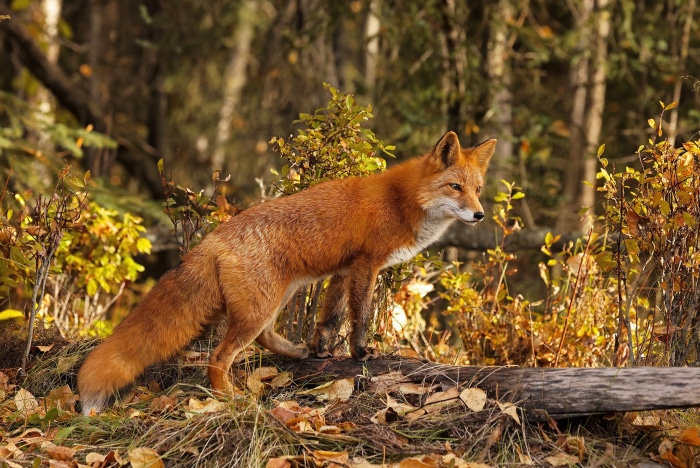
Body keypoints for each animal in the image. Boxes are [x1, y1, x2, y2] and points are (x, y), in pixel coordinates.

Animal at [77, 131, 495, 415]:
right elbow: (359, 316)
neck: (402, 201)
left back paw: (296, 353)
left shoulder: (343, 271)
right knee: (219, 356)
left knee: (264, 338)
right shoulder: (366, 264)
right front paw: (360, 352)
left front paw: (323, 350)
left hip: (277, 297)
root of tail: (213, 239)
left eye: (477, 189)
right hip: (262, 306)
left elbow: (329, 318)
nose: (479, 215)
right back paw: (229, 398)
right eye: (454, 187)